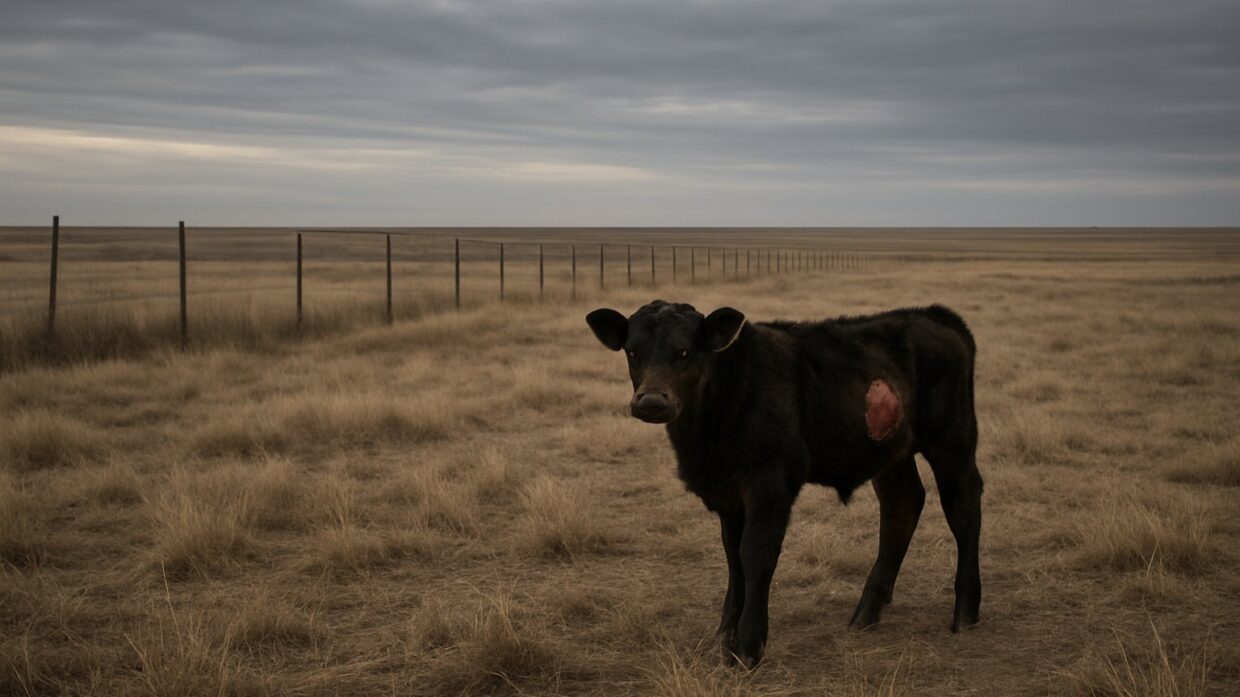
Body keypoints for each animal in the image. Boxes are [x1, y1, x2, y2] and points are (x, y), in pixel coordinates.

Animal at [585, 300, 982, 668]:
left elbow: (756, 555)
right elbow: (734, 560)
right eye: (632, 351)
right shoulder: (729, 496)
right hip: (891, 453)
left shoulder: (770, 485)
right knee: (901, 506)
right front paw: (723, 640)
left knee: (963, 508)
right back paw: (865, 614)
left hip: (952, 443)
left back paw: (965, 612)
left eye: (684, 351)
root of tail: (932, 315)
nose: (652, 401)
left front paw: (748, 647)